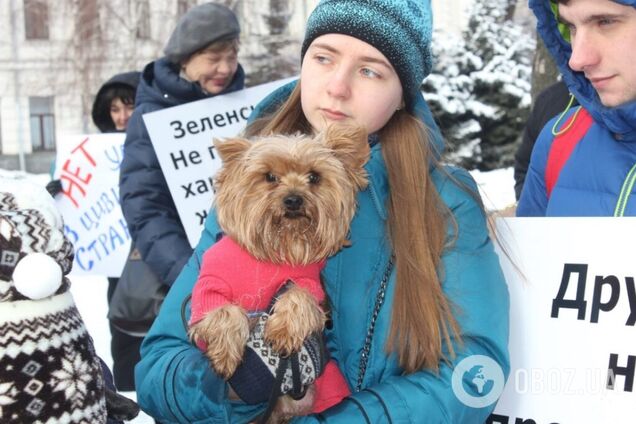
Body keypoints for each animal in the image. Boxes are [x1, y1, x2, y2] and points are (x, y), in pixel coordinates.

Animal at [186, 124, 370, 422]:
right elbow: (225, 312)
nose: (293, 199)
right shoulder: (208, 287)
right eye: (270, 177)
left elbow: (299, 296)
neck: (278, 248)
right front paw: (225, 354)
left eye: (314, 177)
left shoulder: (308, 282)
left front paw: (284, 330)